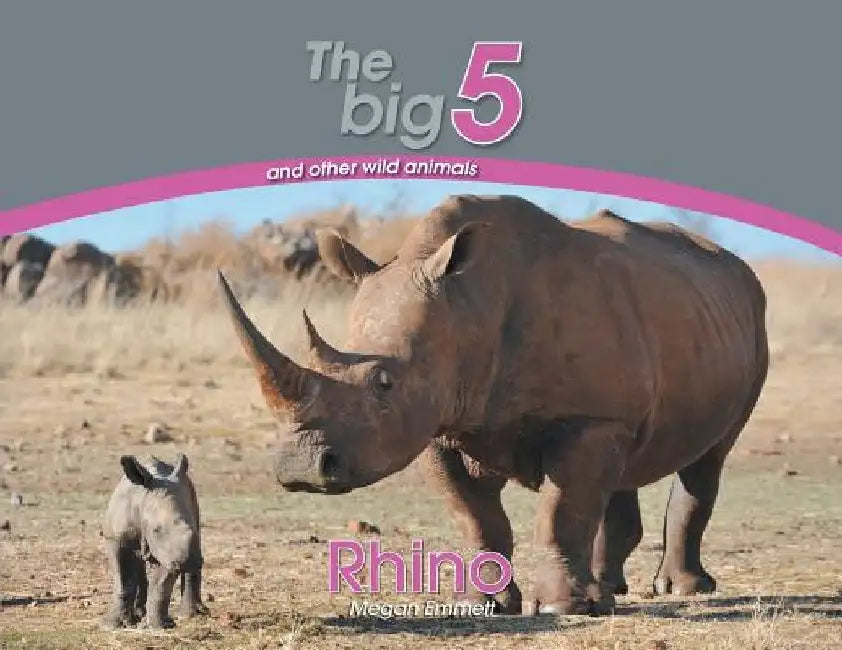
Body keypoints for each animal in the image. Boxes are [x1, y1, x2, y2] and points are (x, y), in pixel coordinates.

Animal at [102, 454, 208, 629]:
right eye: (156, 530)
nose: (189, 562)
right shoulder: (116, 538)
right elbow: (123, 580)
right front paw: (114, 624)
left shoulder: (168, 551)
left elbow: (160, 585)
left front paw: (159, 625)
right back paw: (138, 614)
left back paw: (192, 615)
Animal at [217, 195, 769, 616]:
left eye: (384, 384)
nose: (301, 470)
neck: (467, 306)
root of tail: (734, 264)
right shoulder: (438, 423)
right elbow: (475, 515)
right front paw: (481, 603)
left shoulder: (587, 418)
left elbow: (562, 510)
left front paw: (565, 607)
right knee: (624, 465)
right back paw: (611, 589)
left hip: (750, 321)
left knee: (708, 459)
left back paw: (679, 588)